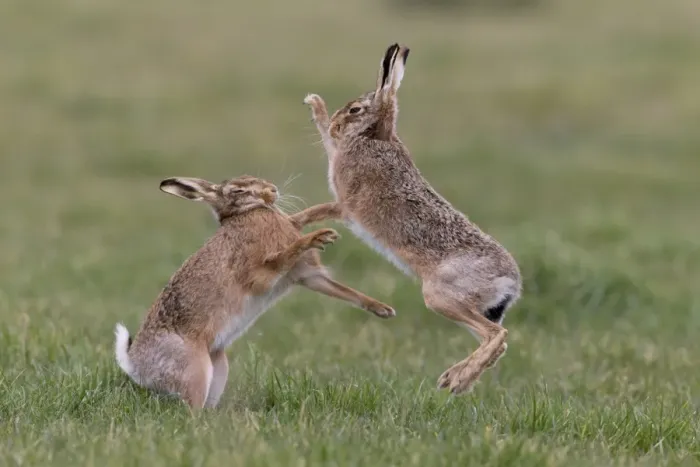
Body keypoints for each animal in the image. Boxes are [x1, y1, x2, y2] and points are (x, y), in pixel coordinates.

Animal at [114, 175, 396, 409]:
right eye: (238, 190)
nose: (272, 190)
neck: (245, 214)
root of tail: (136, 367)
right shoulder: (259, 275)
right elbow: (282, 256)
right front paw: (319, 236)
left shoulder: (306, 276)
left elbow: (344, 290)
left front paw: (383, 309)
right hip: (195, 369)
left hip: (219, 367)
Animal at [301, 43, 522, 395]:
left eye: (355, 110)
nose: (338, 124)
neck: (376, 136)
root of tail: (511, 284)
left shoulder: (345, 203)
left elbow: (316, 207)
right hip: (472, 307)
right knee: (496, 342)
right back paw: (456, 378)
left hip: (440, 296)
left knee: (496, 335)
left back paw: (457, 380)